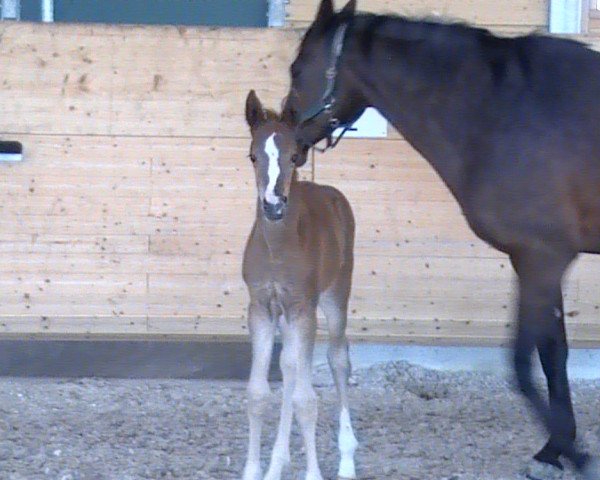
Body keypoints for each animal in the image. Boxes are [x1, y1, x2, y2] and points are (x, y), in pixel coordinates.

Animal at [241, 91, 358, 480]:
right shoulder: (261, 309)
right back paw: (279, 461)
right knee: (291, 366)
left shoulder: (303, 307)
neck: (277, 249)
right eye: (253, 155)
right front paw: (255, 470)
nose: (273, 206)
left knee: (338, 360)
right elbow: (259, 393)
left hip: (335, 297)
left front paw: (314, 473)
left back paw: (347, 458)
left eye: (294, 156)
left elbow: (307, 400)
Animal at [284, 0, 600, 478]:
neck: (504, 110)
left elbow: (524, 362)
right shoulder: (538, 260)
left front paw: (572, 452)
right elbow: (553, 354)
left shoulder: (541, 258)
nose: (288, 140)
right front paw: (557, 447)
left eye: (297, 69)